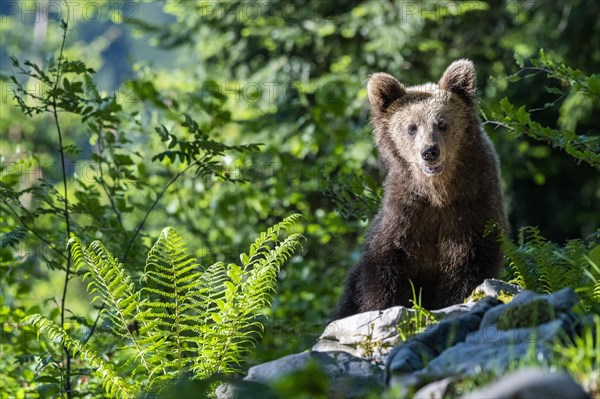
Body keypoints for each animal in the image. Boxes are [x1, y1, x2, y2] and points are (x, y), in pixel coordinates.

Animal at [330, 59, 508, 320]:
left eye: (442, 123)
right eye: (411, 127)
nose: (430, 151)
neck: (438, 193)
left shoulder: (473, 204)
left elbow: (469, 266)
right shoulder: (406, 211)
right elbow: (384, 271)